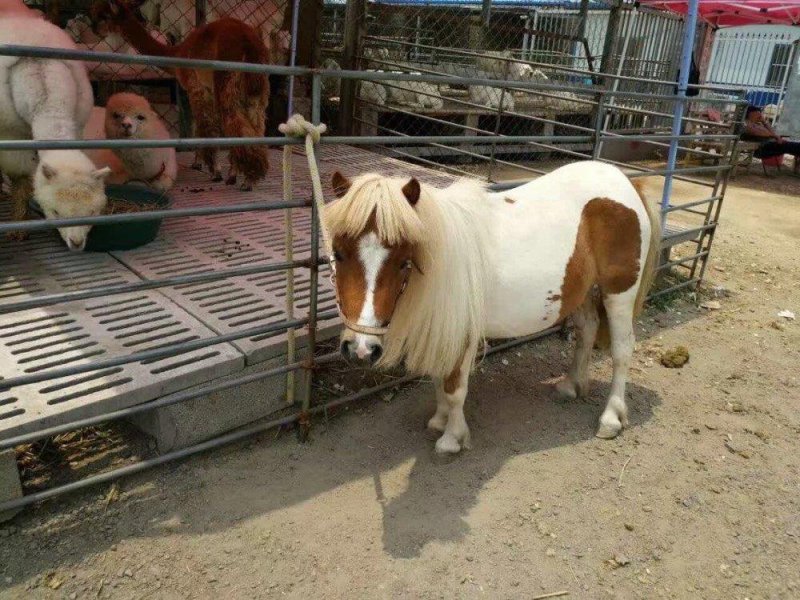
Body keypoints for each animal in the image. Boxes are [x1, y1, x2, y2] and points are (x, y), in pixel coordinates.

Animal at [323, 161, 661, 454]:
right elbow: (439, 380)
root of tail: (627, 183)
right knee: (587, 330)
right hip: (581, 291)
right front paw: (440, 421)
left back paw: (611, 417)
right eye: (338, 254)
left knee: (622, 350)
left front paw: (452, 438)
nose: (361, 349)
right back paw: (571, 385)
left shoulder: (463, 333)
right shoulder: (444, 328)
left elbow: (454, 388)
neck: (445, 256)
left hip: (618, 294)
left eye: (404, 261)